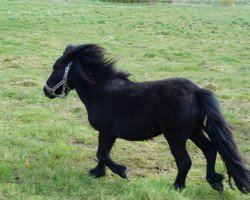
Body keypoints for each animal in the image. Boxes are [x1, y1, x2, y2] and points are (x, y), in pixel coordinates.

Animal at [44, 43, 249, 194]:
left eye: (56, 68)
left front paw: (122, 172)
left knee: (185, 161)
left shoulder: (108, 132)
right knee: (210, 150)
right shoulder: (106, 133)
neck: (100, 90)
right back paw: (215, 181)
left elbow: (102, 154)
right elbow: (102, 154)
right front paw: (97, 173)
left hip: (176, 137)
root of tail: (196, 92)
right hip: (194, 131)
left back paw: (178, 187)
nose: (46, 90)